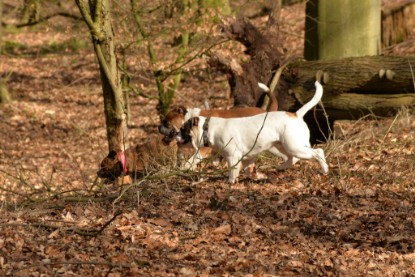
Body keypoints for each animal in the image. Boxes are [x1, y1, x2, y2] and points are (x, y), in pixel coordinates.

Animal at [177, 81, 330, 182]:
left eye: (183, 129)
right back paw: (281, 167)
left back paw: (325, 169)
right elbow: (244, 168)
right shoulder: (246, 157)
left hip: (295, 146)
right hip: (282, 146)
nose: (176, 134)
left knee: (318, 152)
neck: (208, 128)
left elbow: (232, 172)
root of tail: (296, 114)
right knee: (293, 158)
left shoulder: (233, 156)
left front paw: (231, 184)